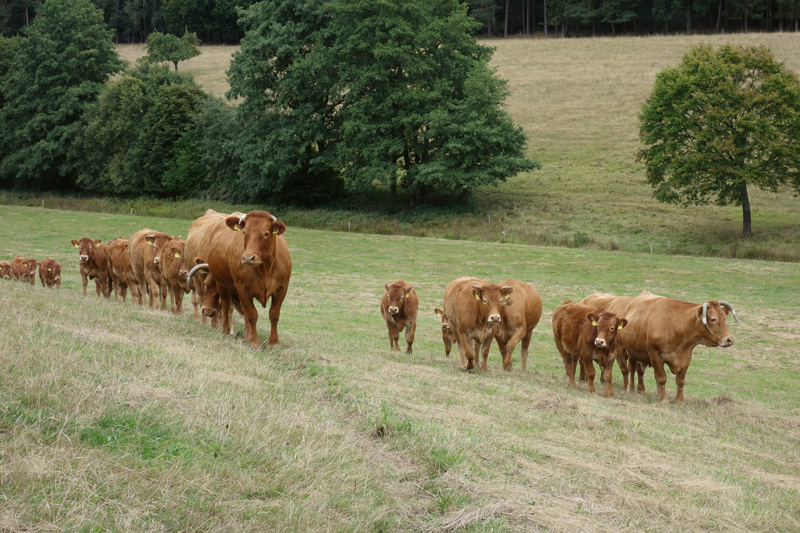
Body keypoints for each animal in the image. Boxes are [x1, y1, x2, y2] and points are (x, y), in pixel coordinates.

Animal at [184, 208, 290, 350]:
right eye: (244, 232)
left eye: (266, 233)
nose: (248, 258)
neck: (265, 269)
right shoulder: (242, 289)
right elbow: (251, 314)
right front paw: (254, 343)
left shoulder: (282, 288)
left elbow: (274, 315)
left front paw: (273, 343)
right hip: (220, 284)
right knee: (223, 304)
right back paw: (225, 330)